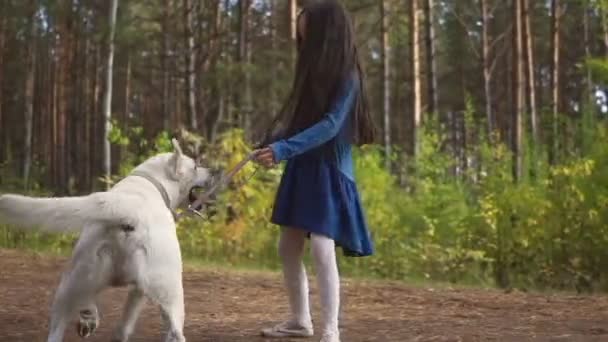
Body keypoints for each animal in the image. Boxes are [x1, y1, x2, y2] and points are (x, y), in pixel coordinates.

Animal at [0, 138, 214, 342]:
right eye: (195, 166)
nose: (213, 171)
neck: (148, 184)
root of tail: (127, 211)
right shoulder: (139, 290)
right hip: (170, 289)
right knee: (175, 332)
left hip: (74, 279)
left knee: (60, 324)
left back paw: (87, 320)